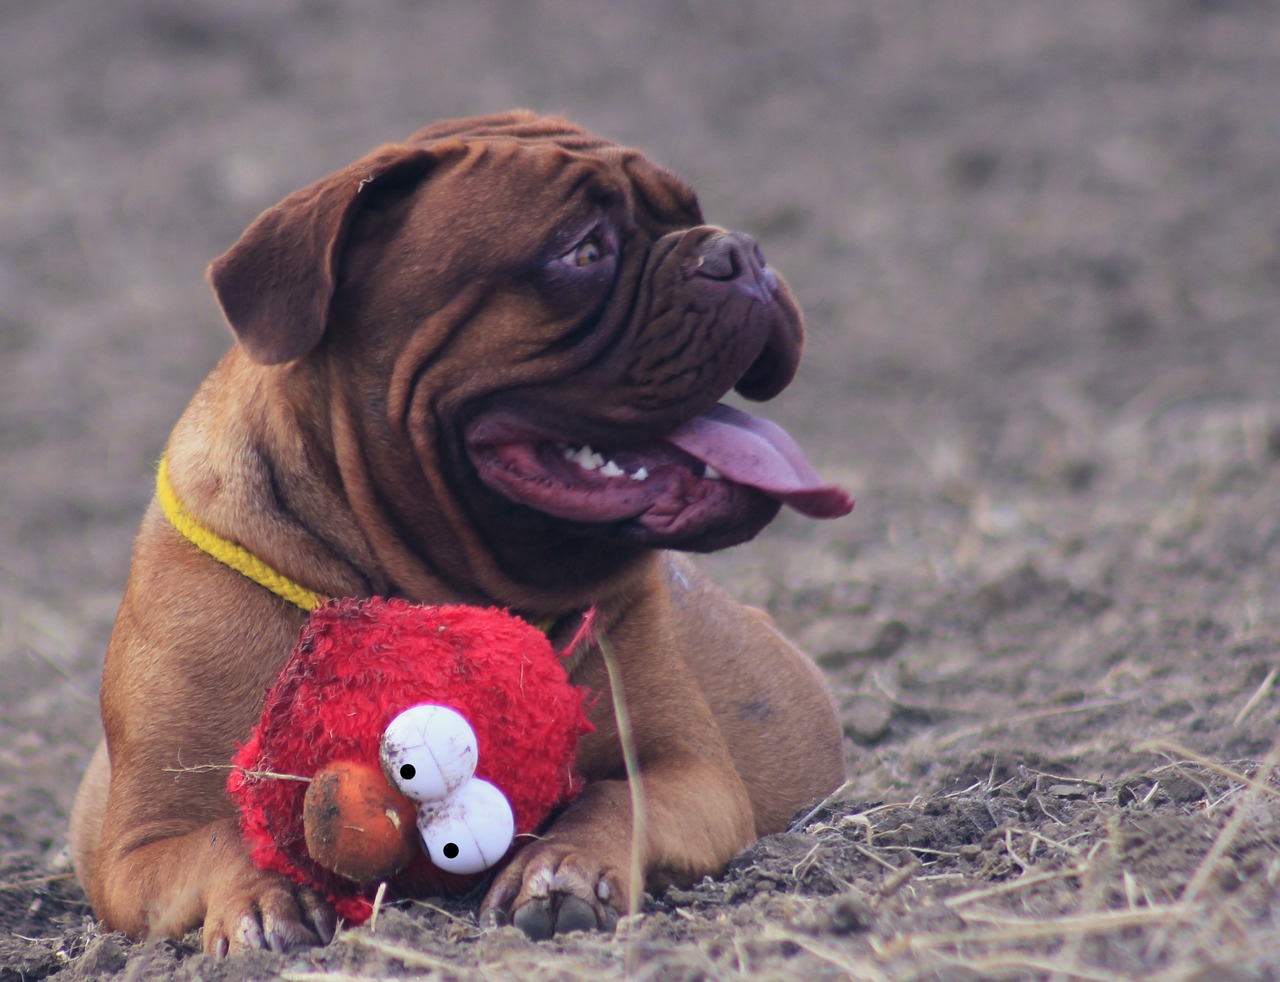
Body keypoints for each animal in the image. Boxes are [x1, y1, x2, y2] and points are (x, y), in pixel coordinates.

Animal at [67, 111, 849, 957]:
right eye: (583, 251)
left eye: (691, 213)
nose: (740, 251)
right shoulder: (139, 845)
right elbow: (224, 839)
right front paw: (262, 902)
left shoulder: (688, 773)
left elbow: (612, 799)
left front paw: (563, 870)